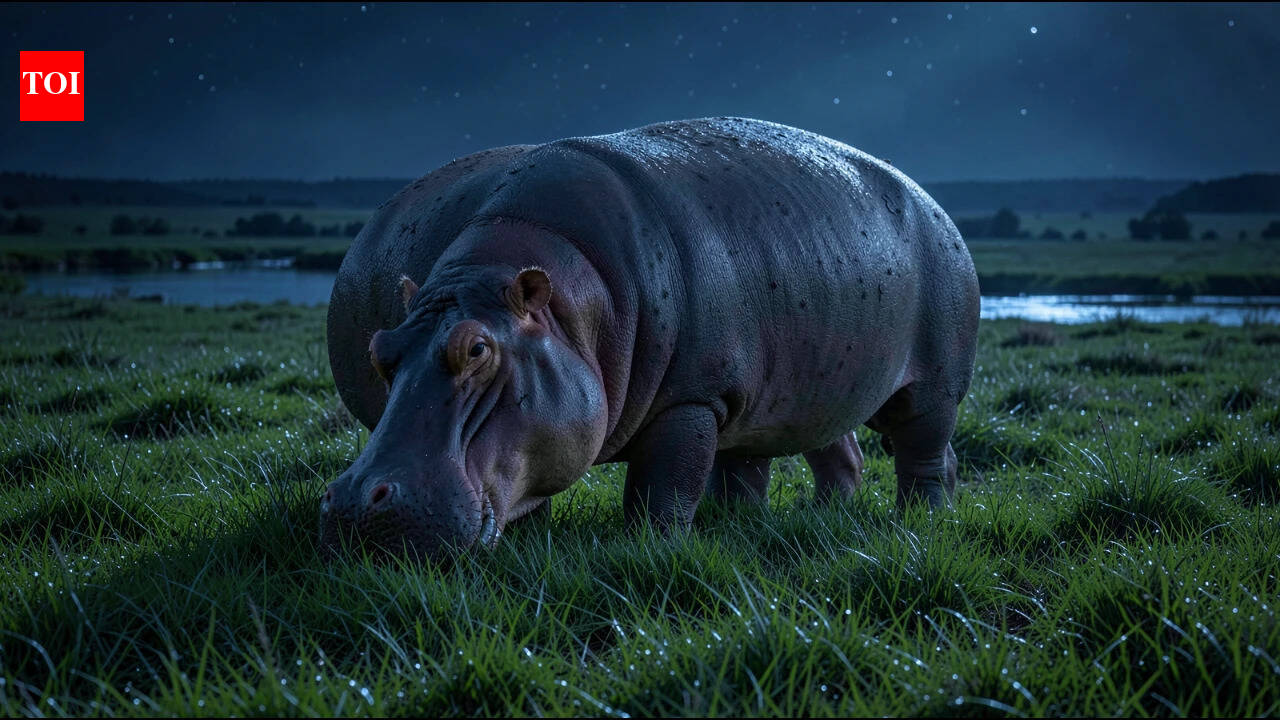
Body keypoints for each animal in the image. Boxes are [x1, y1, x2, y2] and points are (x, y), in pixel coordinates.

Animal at [321, 117, 979, 560]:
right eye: (380, 352)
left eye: (476, 349)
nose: (353, 501)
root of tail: (934, 203)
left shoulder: (690, 399)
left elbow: (663, 487)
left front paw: (652, 550)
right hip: (811, 390)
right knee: (825, 456)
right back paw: (801, 519)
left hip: (933, 388)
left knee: (922, 455)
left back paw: (921, 521)